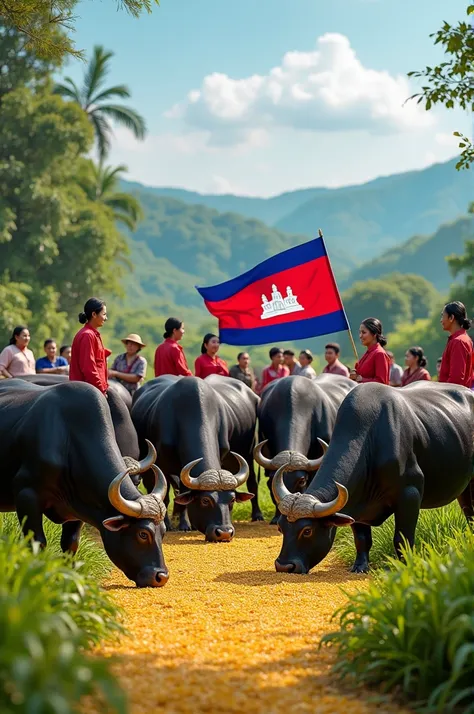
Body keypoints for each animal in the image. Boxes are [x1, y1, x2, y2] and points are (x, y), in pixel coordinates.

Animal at [0, 378, 170, 584]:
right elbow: (37, 542)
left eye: (163, 531)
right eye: (143, 534)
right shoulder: (27, 496)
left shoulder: (76, 507)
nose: (161, 576)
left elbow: (70, 543)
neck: (68, 440)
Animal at [131, 372, 262, 540]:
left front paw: (185, 524)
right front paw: (171, 524)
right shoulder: (161, 466)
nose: (224, 533)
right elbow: (165, 495)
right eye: (205, 500)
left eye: (232, 500)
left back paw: (257, 515)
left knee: (252, 481)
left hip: (249, 452)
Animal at [272, 384, 474, 572]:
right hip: (465, 488)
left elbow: (402, 538)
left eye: (307, 530)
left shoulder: (410, 495)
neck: (372, 440)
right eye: (281, 527)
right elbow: (362, 539)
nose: (284, 566)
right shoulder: (356, 505)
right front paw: (360, 566)